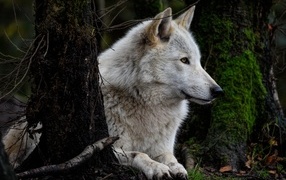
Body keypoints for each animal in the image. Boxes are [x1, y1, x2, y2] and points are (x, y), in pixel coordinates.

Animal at [99, 6, 222, 179]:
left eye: (198, 61)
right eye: (184, 60)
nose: (218, 91)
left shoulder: (164, 147)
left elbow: (170, 157)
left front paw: (177, 167)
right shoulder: (112, 148)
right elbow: (140, 154)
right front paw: (157, 168)